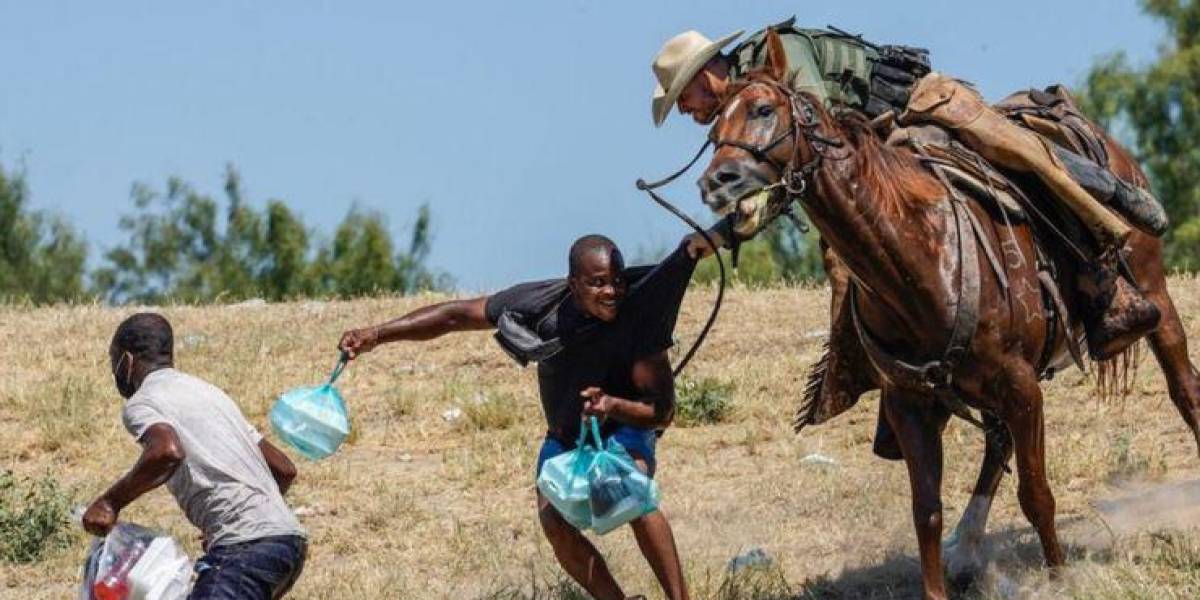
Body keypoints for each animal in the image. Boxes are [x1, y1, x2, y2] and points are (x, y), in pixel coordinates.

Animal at [700, 30, 1195, 600]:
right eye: (713, 129)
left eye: (763, 109)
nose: (718, 182)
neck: (918, 257)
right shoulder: (911, 405)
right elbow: (927, 512)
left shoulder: (1021, 385)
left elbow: (1037, 494)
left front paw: (1060, 576)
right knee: (996, 447)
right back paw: (968, 547)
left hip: (1153, 294)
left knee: (1185, 389)